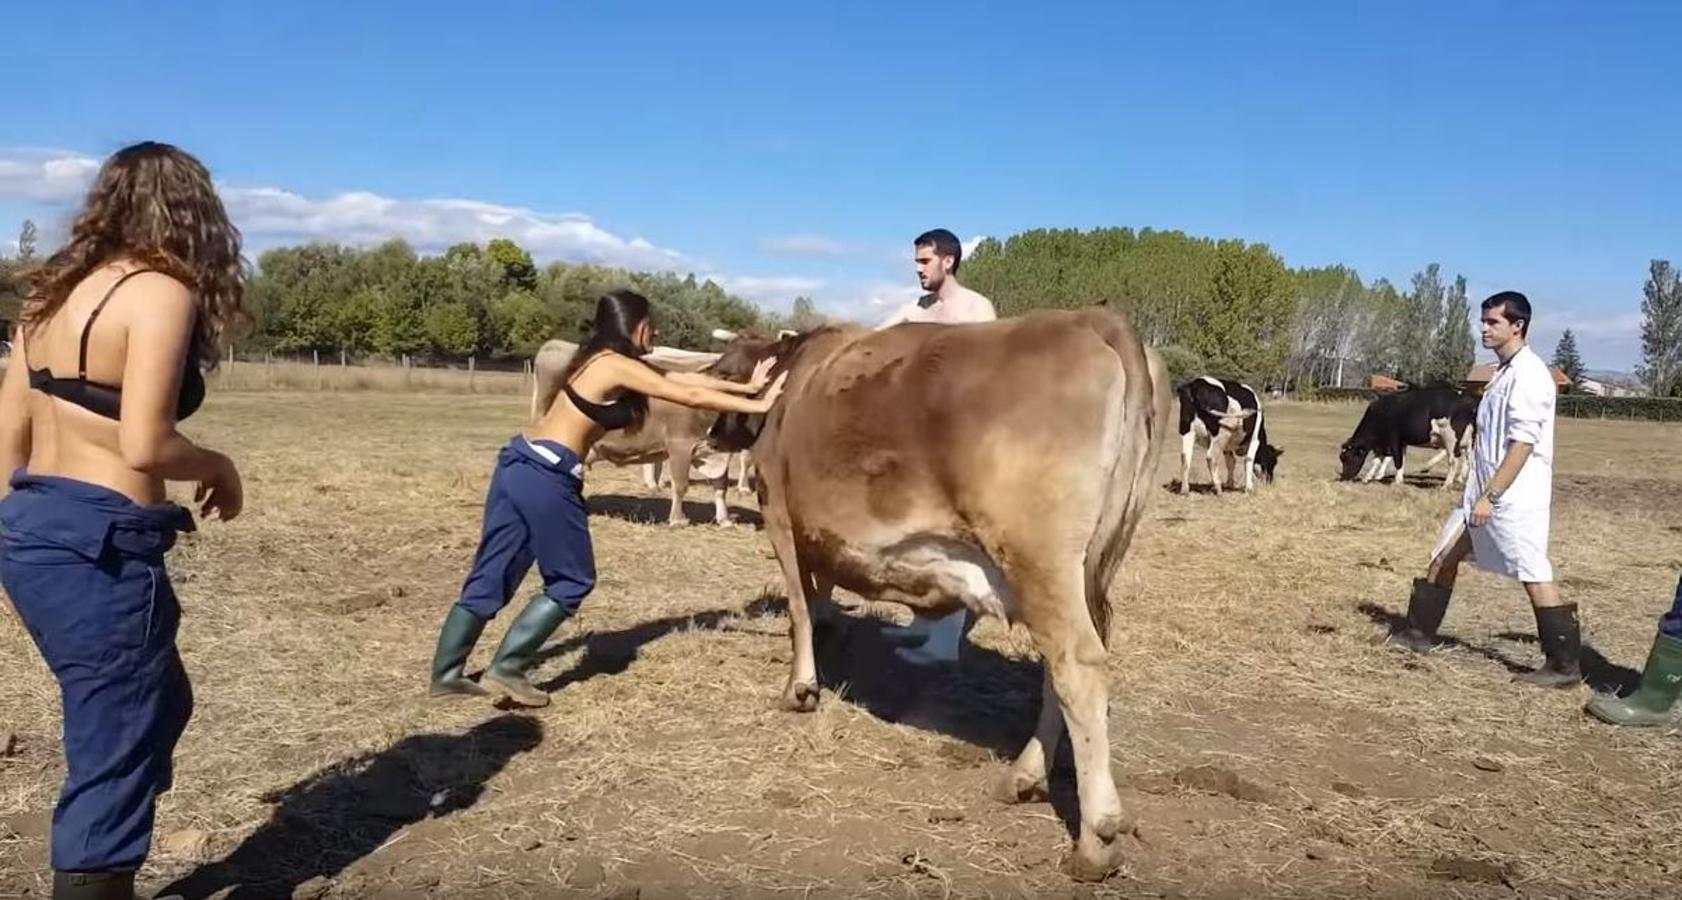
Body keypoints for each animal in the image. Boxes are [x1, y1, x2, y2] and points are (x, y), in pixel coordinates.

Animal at [709, 307, 1170, 881]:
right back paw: (1022, 777)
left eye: (726, 373)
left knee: (1077, 668)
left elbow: (799, 609)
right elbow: (819, 600)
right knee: (1059, 668)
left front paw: (799, 690)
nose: (710, 434)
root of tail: (1092, 316)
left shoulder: (779, 514)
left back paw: (1095, 841)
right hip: (1078, 570)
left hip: (1038, 558)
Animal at [1338, 385, 1473, 491]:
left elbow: (1397, 460)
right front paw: (1368, 477)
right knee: (1469, 459)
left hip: (1450, 437)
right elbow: (1383, 460)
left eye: (1346, 457)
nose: (1344, 477)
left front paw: (1396, 481)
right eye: (1341, 457)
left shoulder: (1394, 440)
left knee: (1453, 461)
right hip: (1468, 440)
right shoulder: (1397, 443)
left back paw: (1446, 485)